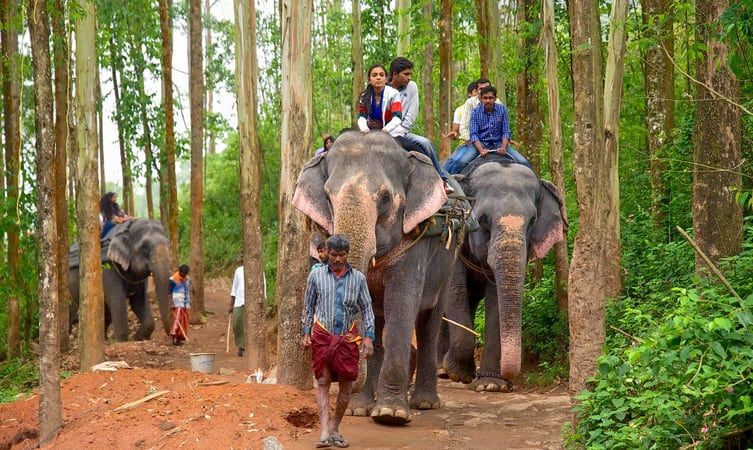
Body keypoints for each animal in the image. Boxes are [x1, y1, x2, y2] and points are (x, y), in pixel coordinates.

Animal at [293, 131, 467, 425]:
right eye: (328, 196)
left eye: (385, 198)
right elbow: (371, 312)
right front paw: (359, 409)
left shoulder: (414, 241)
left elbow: (402, 305)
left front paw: (391, 414)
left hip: (448, 261)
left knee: (428, 323)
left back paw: (424, 403)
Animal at [440, 155, 567, 392]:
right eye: (483, 220)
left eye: (532, 221)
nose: (510, 382)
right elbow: (454, 289)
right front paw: (457, 374)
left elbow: (495, 299)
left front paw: (491, 385)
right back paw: (442, 371)